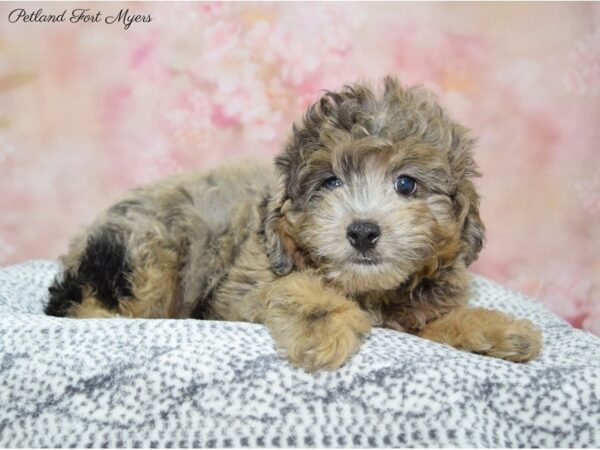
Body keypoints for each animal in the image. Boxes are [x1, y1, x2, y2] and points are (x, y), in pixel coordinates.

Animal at [45, 77, 544, 370]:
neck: (369, 291)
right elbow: (298, 288)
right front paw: (323, 325)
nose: (363, 231)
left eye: (406, 184)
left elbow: (437, 317)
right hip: (145, 253)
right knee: (78, 303)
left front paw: (496, 329)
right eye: (330, 182)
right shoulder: (243, 288)